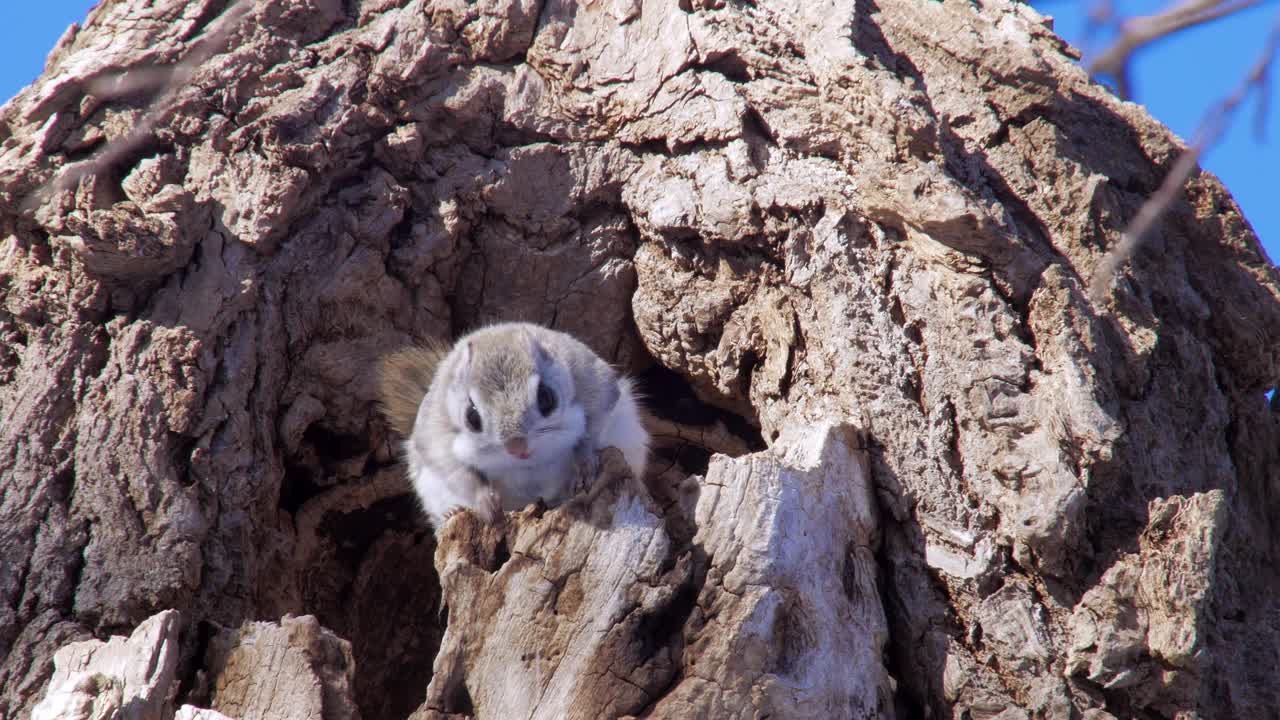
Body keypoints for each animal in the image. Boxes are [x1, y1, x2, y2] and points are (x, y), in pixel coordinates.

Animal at [373, 320, 645, 527]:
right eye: (472, 417)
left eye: (546, 398)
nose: (517, 448)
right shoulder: (433, 434)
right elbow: (457, 470)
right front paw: (485, 502)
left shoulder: (594, 383)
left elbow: (592, 426)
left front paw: (584, 462)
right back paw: (452, 512)